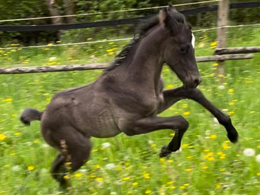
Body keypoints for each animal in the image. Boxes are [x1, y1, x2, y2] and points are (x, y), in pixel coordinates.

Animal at [19, 5, 238, 190]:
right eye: (183, 47)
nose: (195, 79)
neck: (133, 79)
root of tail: (42, 115)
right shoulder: (132, 125)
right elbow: (181, 121)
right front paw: (166, 150)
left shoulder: (158, 105)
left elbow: (192, 94)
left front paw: (232, 133)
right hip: (80, 150)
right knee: (61, 173)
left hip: (69, 149)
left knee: (56, 172)